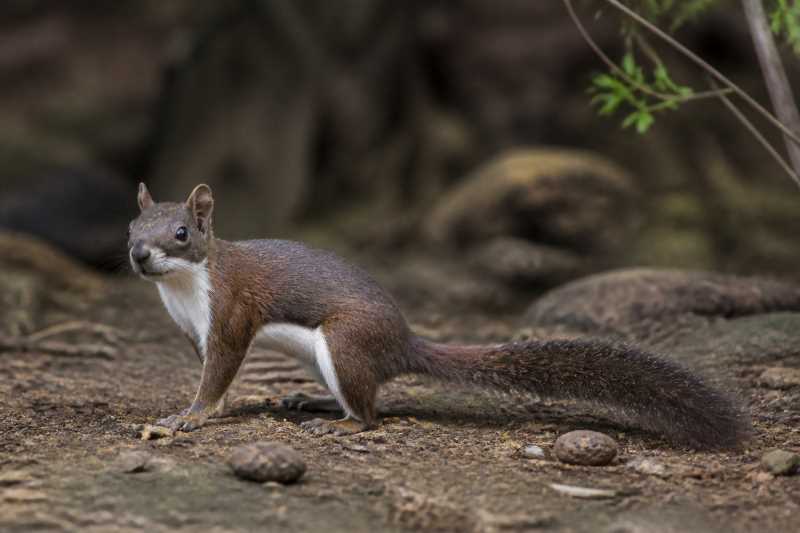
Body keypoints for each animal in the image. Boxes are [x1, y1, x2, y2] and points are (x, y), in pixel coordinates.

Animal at [128, 183, 751, 449]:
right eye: (131, 226)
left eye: (180, 233)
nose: (138, 254)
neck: (183, 294)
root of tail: (403, 342)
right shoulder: (194, 332)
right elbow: (215, 378)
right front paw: (203, 409)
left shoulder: (230, 315)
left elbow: (218, 376)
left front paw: (187, 418)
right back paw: (311, 401)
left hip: (344, 343)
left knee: (371, 413)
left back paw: (335, 423)